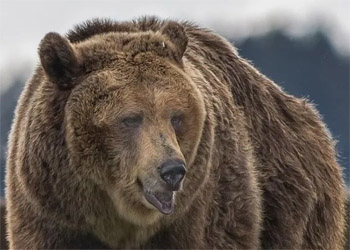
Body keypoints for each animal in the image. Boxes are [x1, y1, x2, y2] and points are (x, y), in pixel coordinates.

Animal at [4, 16, 346, 249]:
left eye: (176, 116)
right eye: (130, 118)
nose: (172, 170)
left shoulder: (198, 214)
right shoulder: (51, 212)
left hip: (290, 204)